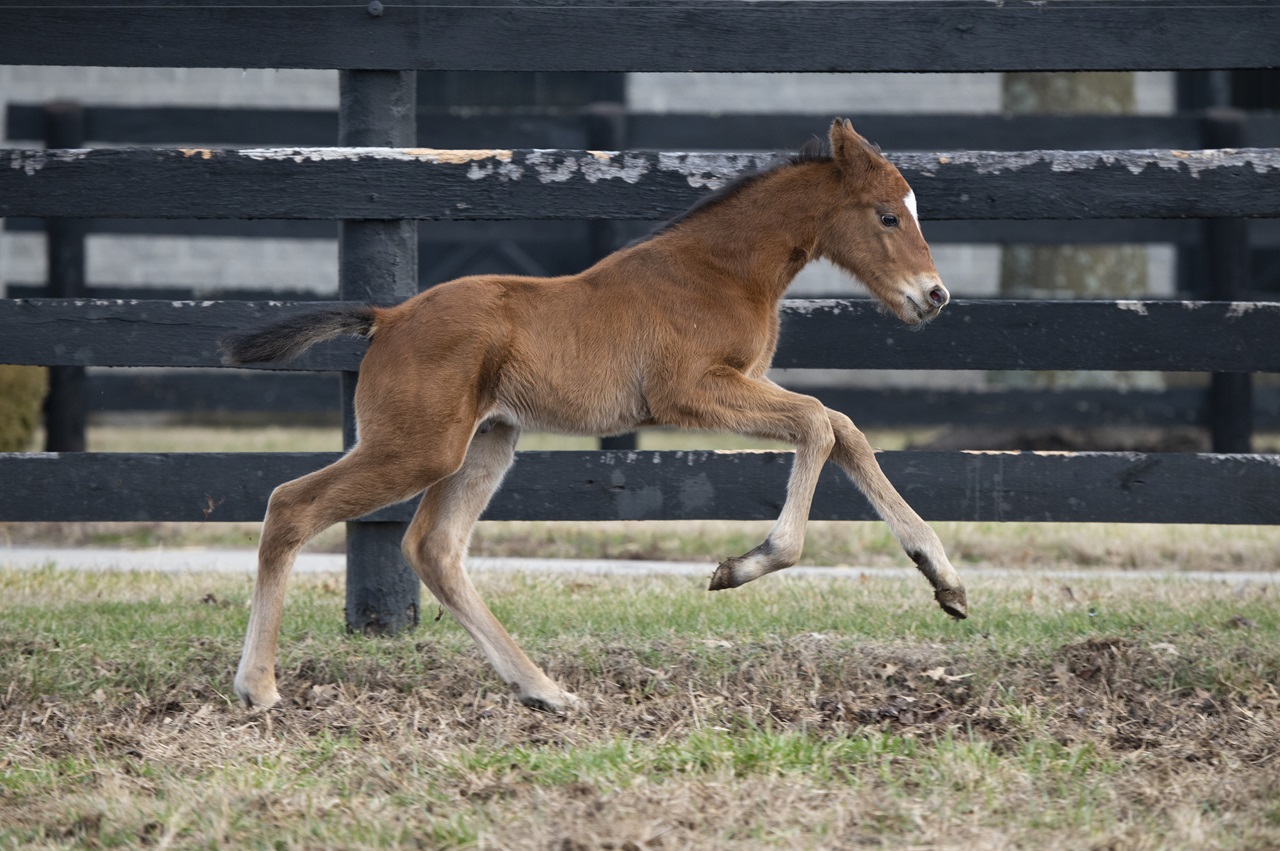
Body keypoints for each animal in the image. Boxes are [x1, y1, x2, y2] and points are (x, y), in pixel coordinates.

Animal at [220, 119, 967, 713]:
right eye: (888, 215)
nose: (934, 296)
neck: (720, 270)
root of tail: (388, 317)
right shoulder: (690, 391)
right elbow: (818, 420)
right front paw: (742, 566)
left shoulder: (742, 383)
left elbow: (844, 429)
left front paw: (945, 580)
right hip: (419, 446)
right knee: (291, 505)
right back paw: (258, 686)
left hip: (487, 442)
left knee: (434, 548)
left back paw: (544, 690)